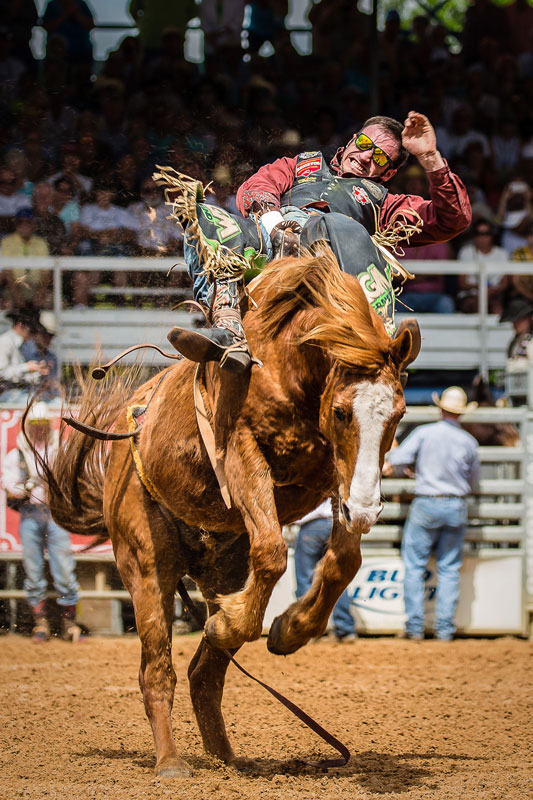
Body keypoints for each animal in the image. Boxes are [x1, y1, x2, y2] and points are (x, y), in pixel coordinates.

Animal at [42, 250, 417, 777]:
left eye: (398, 416)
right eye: (343, 412)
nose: (367, 509)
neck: (285, 367)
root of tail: (124, 431)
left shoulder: (336, 478)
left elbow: (344, 561)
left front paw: (289, 629)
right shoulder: (238, 448)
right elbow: (274, 552)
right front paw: (232, 623)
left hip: (223, 568)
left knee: (204, 674)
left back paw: (227, 759)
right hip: (146, 565)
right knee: (157, 669)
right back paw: (171, 761)